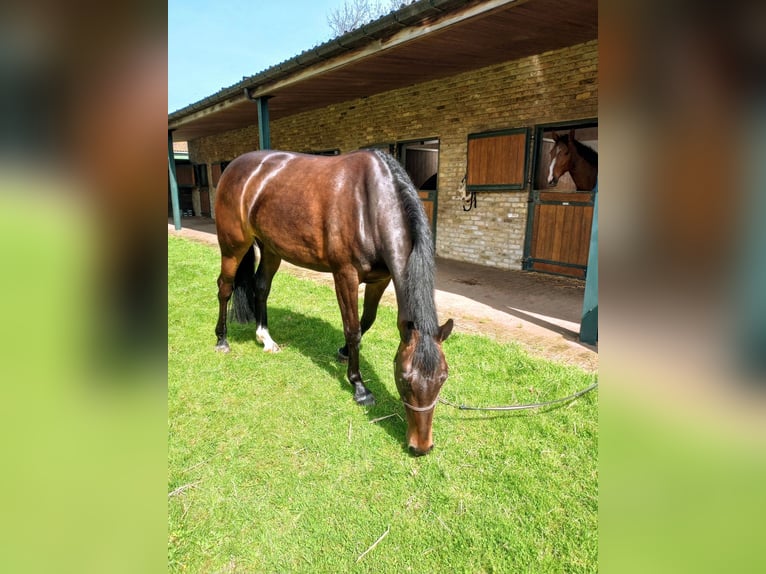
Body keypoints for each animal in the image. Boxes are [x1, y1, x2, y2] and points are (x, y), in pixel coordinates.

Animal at [214, 150, 456, 460]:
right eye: (403, 378)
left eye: (443, 378)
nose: (421, 447)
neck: (370, 204)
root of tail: (234, 166)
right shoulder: (345, 275)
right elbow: (353, 328)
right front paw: (359, 386)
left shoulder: (380, 279)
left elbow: (367, 320)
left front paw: (342, 353)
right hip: (233, 245)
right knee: (225, 288)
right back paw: (222, 340)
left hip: (271, 248)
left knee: (260, 288)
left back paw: (265, 338)